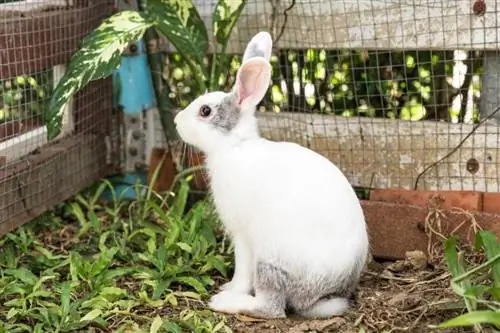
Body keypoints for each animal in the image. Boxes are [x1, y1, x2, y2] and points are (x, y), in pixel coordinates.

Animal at [174, 31, 370, 320]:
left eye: (205, 111)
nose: (176, 121)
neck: (235, 145)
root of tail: (322, 296)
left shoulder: (243, 238)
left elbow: (242, 272)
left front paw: (231, 290)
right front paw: (228, 286)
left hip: (271, 261)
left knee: (272, 308)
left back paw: (225, 303)